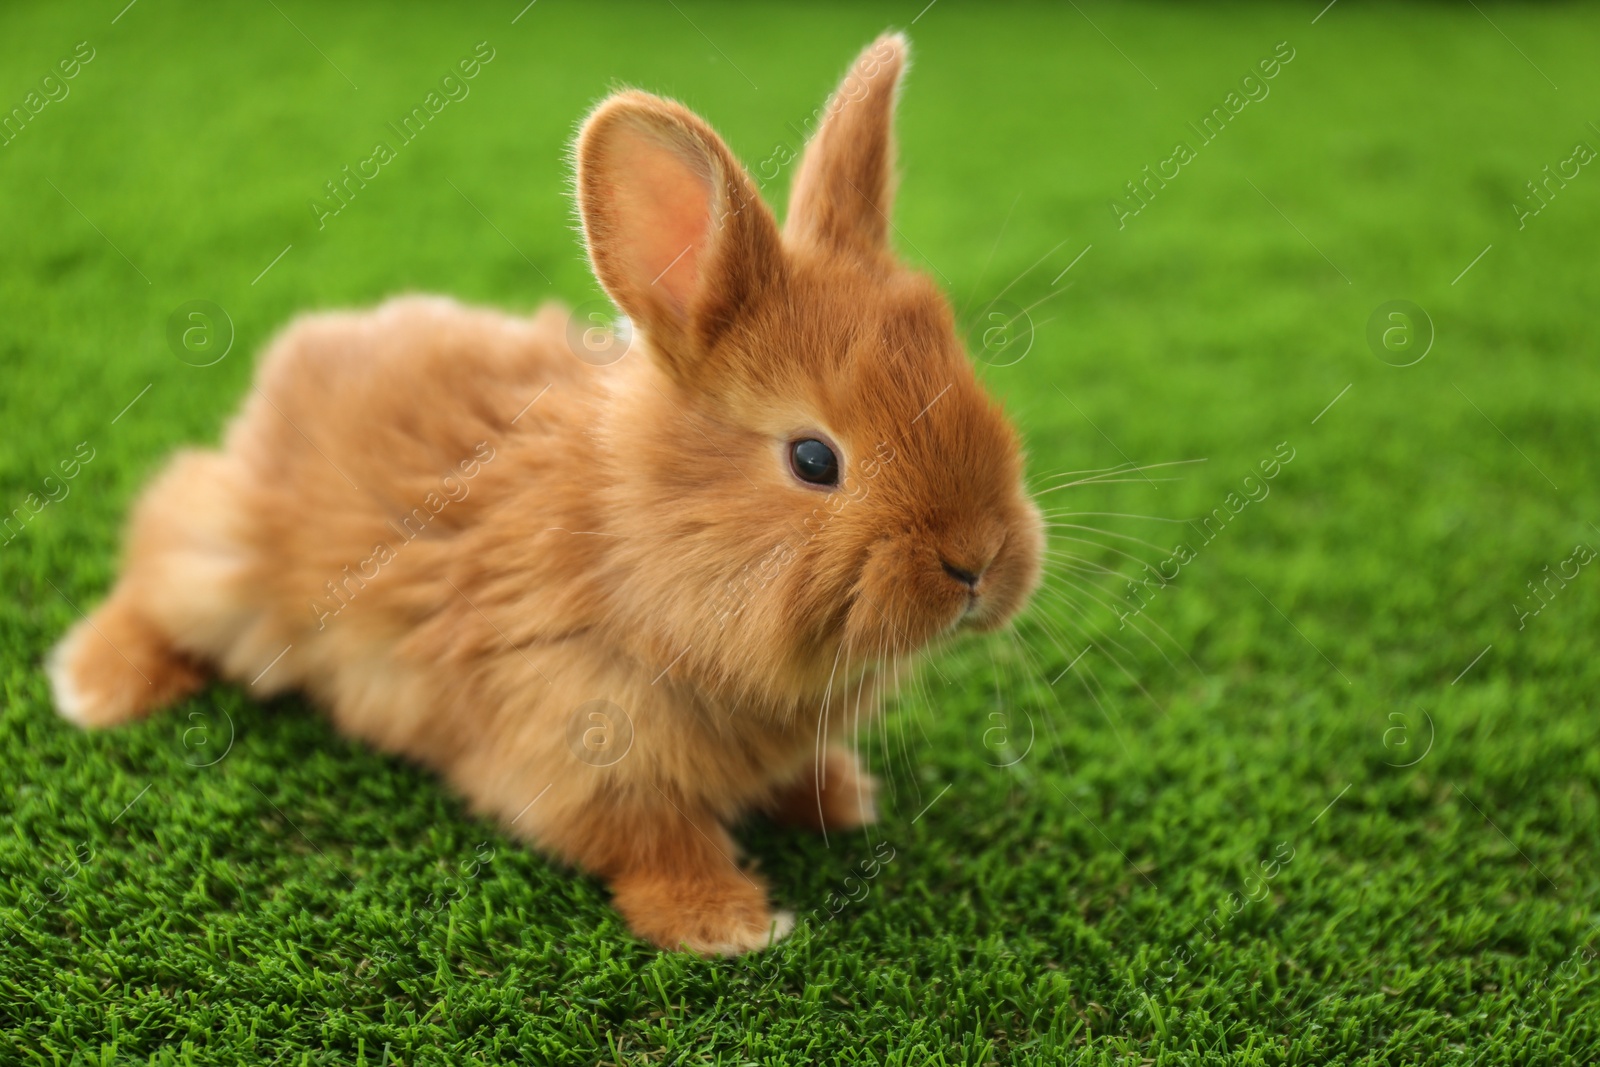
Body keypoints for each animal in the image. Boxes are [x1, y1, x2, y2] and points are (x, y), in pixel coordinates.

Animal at [46, 33, 1036, 953]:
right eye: (814, 460)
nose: (980, 561)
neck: (639, 555)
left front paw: (840, 793)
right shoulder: (582, 744)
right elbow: (653, 839)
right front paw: (725, 922)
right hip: (227, 574)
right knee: (157, 560)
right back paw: (94, 685)